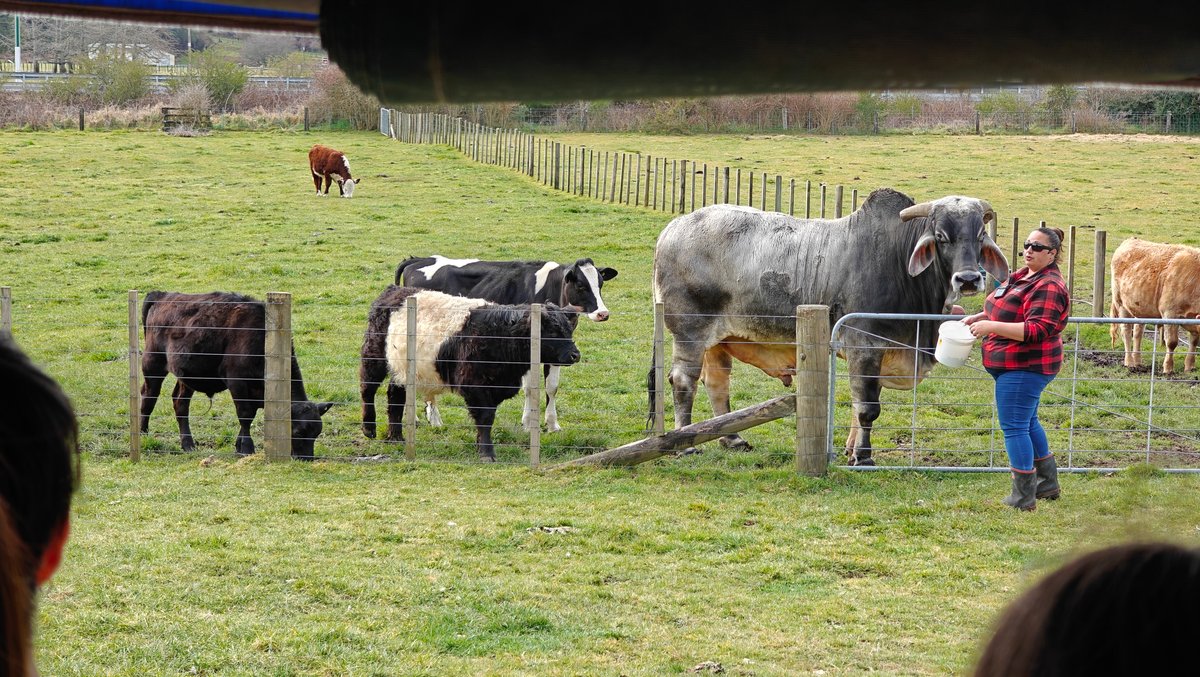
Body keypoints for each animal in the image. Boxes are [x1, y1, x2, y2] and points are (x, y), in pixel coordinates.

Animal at [139, 291, 334, 459]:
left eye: (317, 432)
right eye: (298, 431)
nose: (306, 459)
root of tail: (162, 295)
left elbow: (249, 415)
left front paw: (239, 445)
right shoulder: (237, 382)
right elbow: (245, 414)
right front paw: (247, 448)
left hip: (186, 375)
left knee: (180, 404)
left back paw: (188, 444)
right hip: (153, 364)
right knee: (149, 396)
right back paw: (142, 434)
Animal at [359, 286, 581, 461]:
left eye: (569, 330)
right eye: (552, 332)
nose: (575, 355)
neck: (500, 334)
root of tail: (395, 290)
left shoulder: (495, 388)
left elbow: (487, 419)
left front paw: (479, 445)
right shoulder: (475, 387)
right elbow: (485, 418)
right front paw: (487, 453)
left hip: (401, 370)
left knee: (394, 396)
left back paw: (395, 436)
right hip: (374, 357)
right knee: (367, 388)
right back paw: (369, 428)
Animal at [394, 255, 617, 432]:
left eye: (600, 284)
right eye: (580, 285)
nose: (603, 313)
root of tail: (418, 259)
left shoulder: (559, 351)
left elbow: (552, 387)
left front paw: (553, 425)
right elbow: (530, 388)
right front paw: (528, 423)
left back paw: (429, 419)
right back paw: (423, 418)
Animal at [651, 189, 1009, 465]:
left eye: (980, 235)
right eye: (941, 237)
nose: (968, 279)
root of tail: (672, 228)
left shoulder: (875, 353)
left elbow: (859, 402)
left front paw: (851, 450)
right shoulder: (865, 346)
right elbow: (867, 408)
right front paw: (863, 457)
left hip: (717, 340)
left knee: (716, 383)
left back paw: (732, 438)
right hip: (690, 333)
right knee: (683, 381)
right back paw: (685, 445)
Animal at [1109, 237, 1200, 374]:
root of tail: (1130, 240)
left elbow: (1194, 340)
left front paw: (1190, 366)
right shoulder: (1170, 313)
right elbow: (1172, 342)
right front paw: (1168, 368)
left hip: (1140, 309)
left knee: (1138, 333)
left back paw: (1137, 361)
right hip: (1122, 305)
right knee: (1126, 332)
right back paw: (1129, 362)